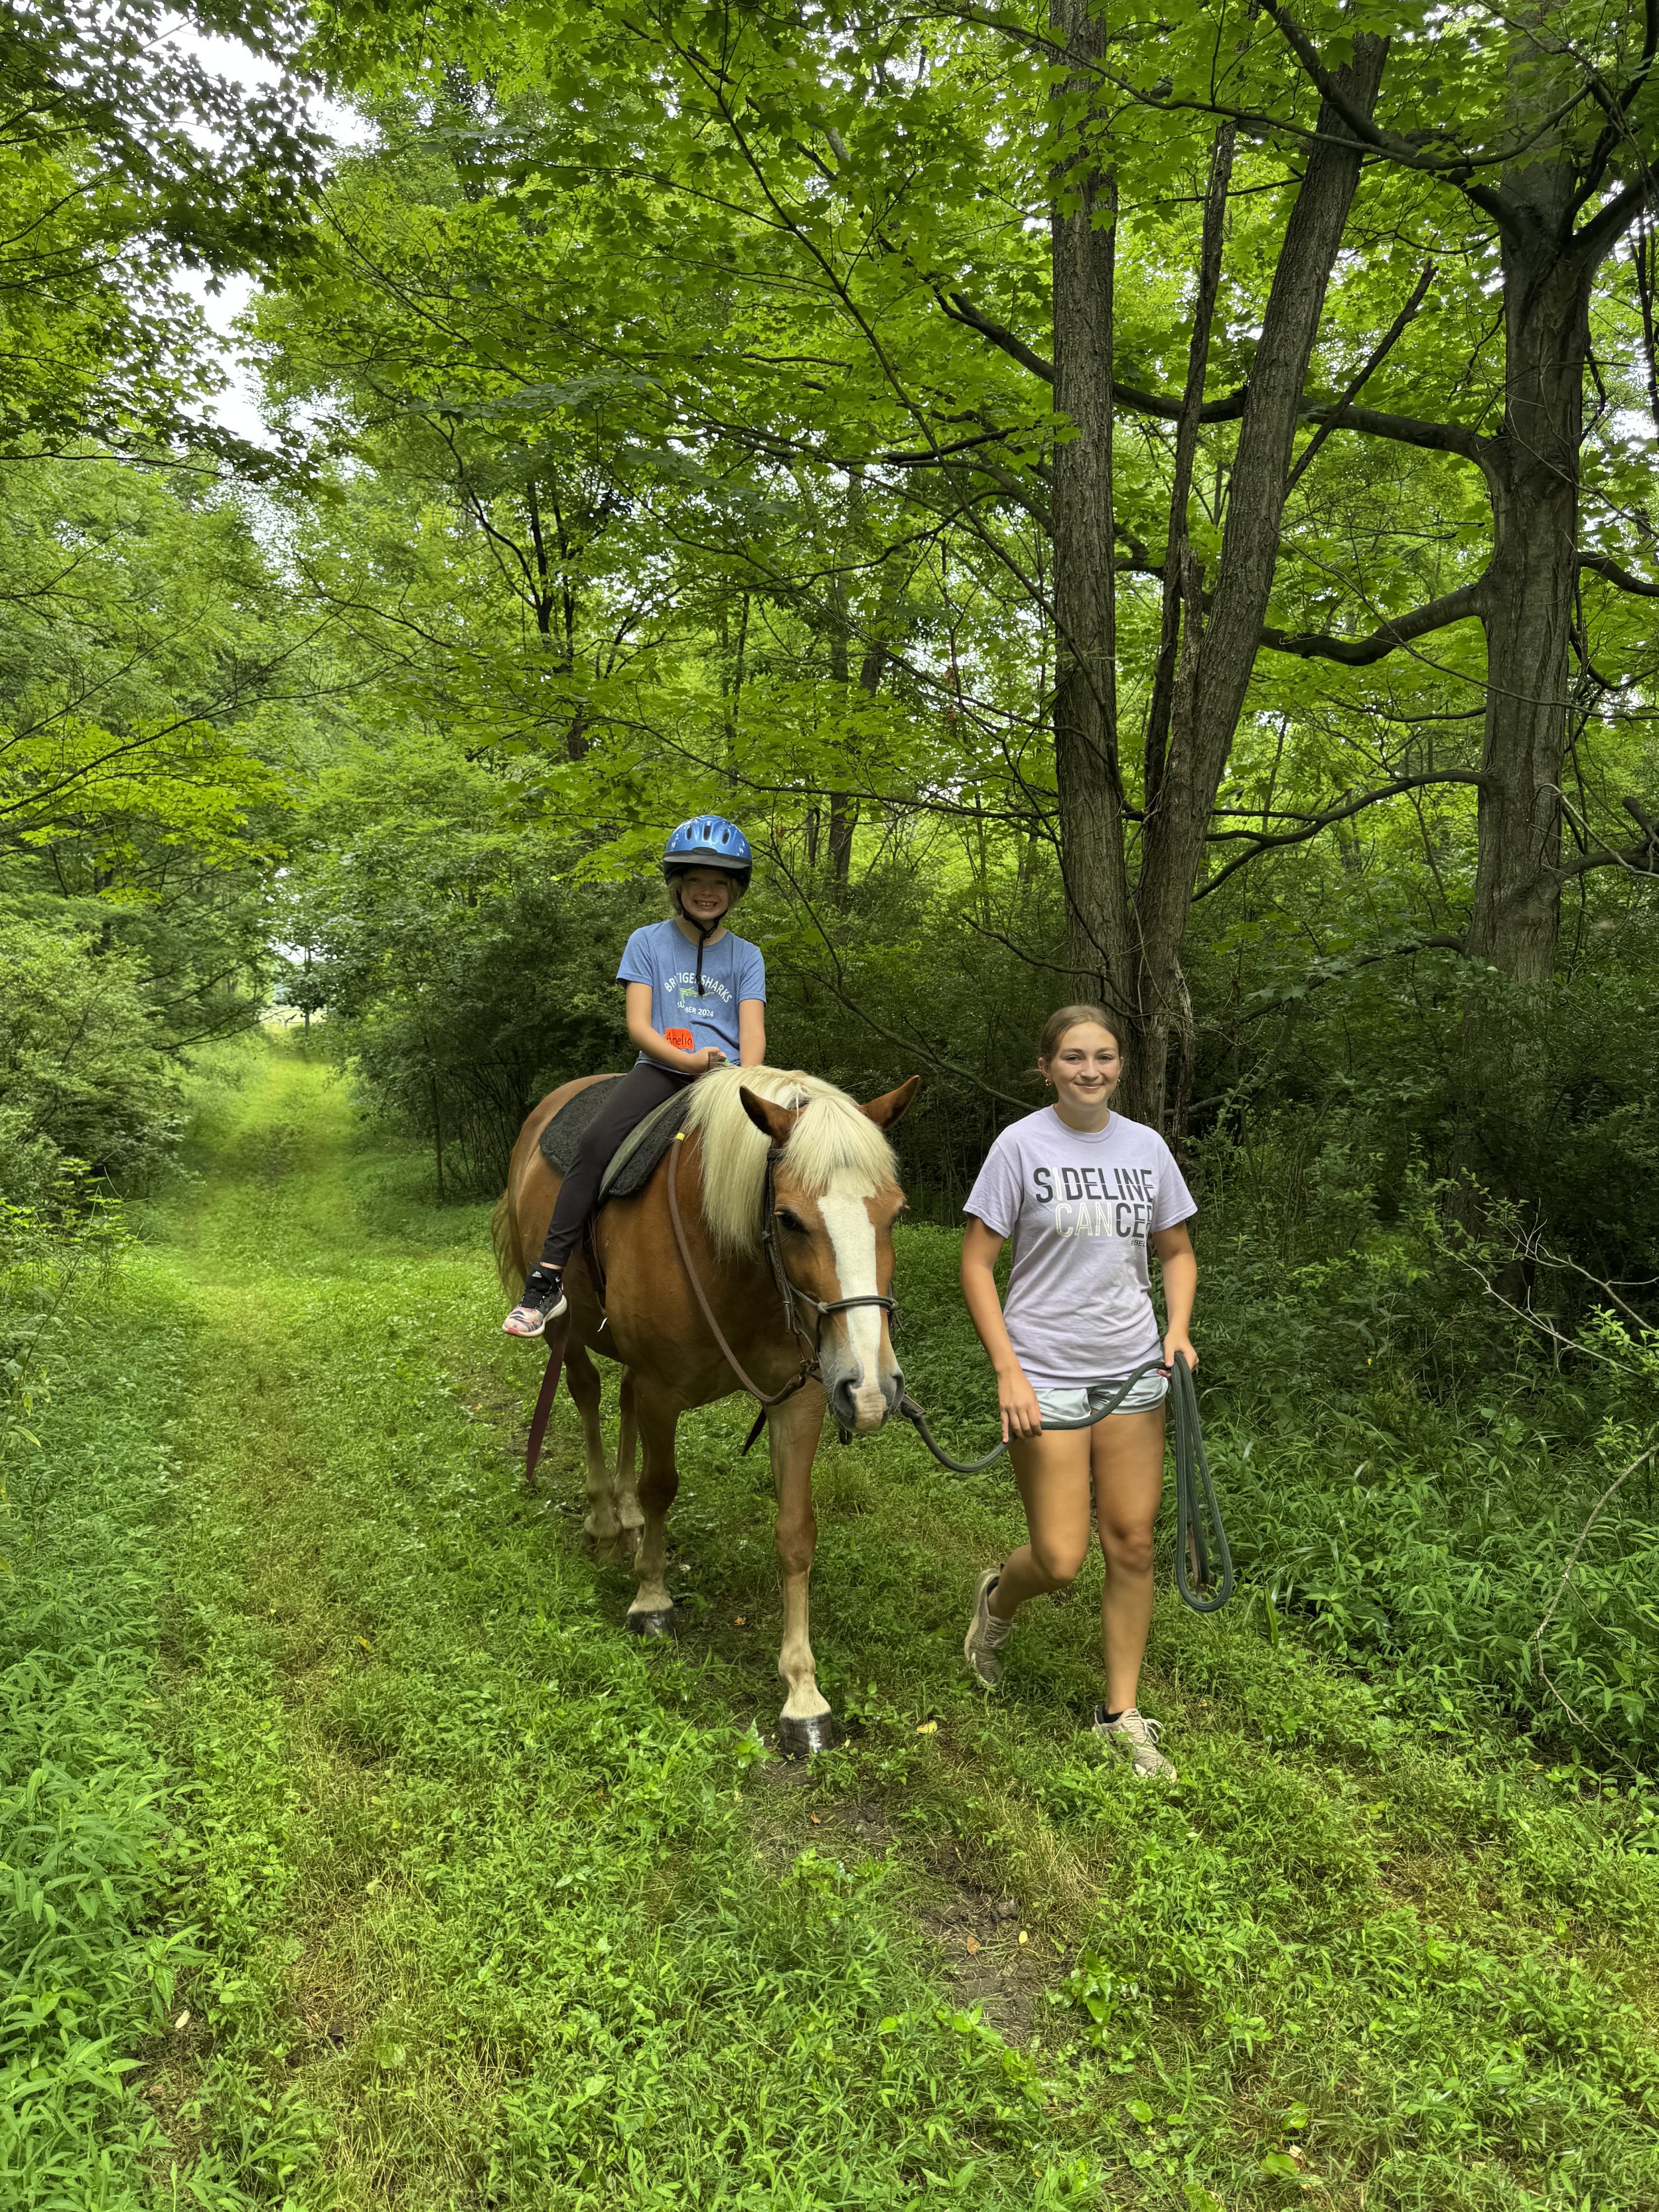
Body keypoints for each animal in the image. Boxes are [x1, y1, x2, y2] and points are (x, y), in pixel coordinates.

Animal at [491, 1063, 920, 1752]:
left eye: (896, 1213)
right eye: (789, 1218)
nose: (872, 1389)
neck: (734, 1264)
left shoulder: (800, 1399)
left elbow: (796, 1531)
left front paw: (803, 1692)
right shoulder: (663, 1386)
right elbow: (662, 1485)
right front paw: (652, 1599)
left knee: (621, 1402)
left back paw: (628, 1520)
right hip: (568, 1330)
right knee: (587, 1392)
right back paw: (606, 1520)